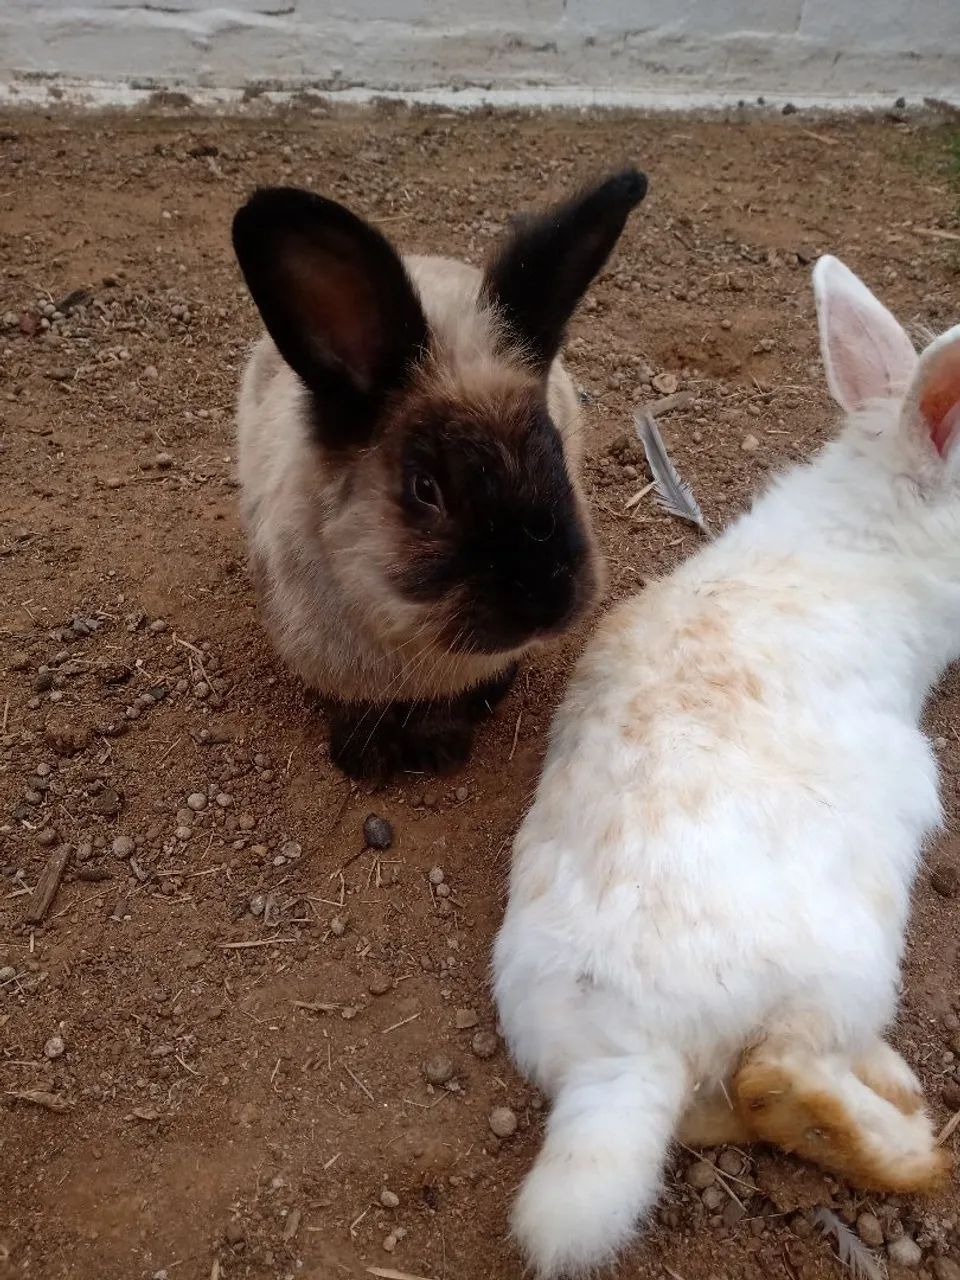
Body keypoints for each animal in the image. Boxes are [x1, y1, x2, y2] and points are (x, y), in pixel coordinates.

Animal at [231, 170, 648, 780]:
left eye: (555, 449)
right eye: (425, 488)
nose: (547, 602)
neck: (412, 636)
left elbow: (447, 707)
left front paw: (442, 749)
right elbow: (360, 710)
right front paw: (366, 761)